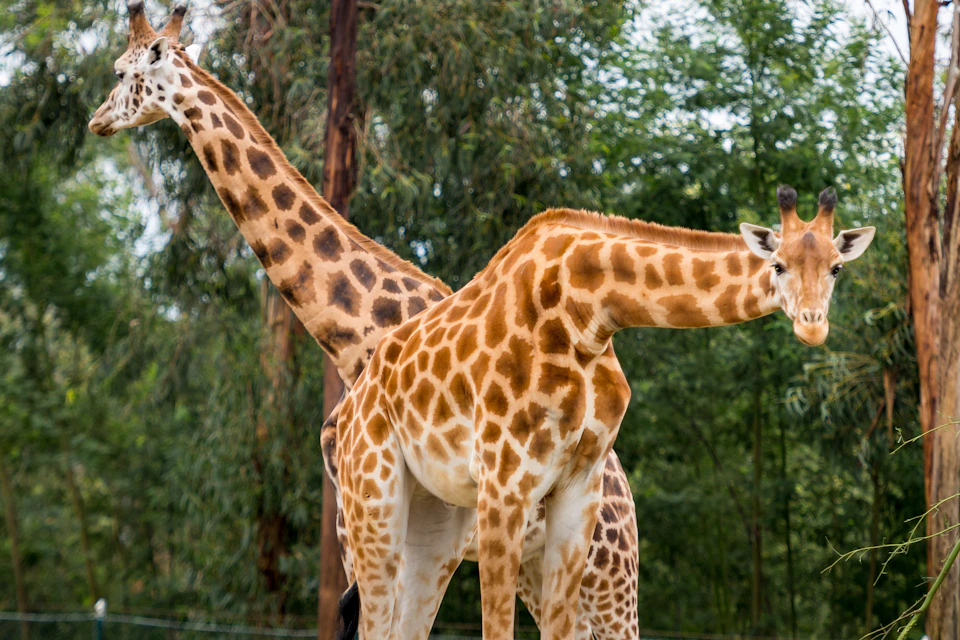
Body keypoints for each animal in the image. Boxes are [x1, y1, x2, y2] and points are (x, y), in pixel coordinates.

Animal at [88, 4, 640, 637]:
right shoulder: (364, 529)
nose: (96, 118)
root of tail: (625, 500)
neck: (356, 338)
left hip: (607, 579)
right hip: (536, 564)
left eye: (122, 71)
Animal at [335, 188, 876, 639]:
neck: (585, 310)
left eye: (836, 269)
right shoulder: (505, 485)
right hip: (373, 504)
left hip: (437, 519)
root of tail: (348, 408)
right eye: (778, 265)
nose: (812, 326)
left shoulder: (580, 486)